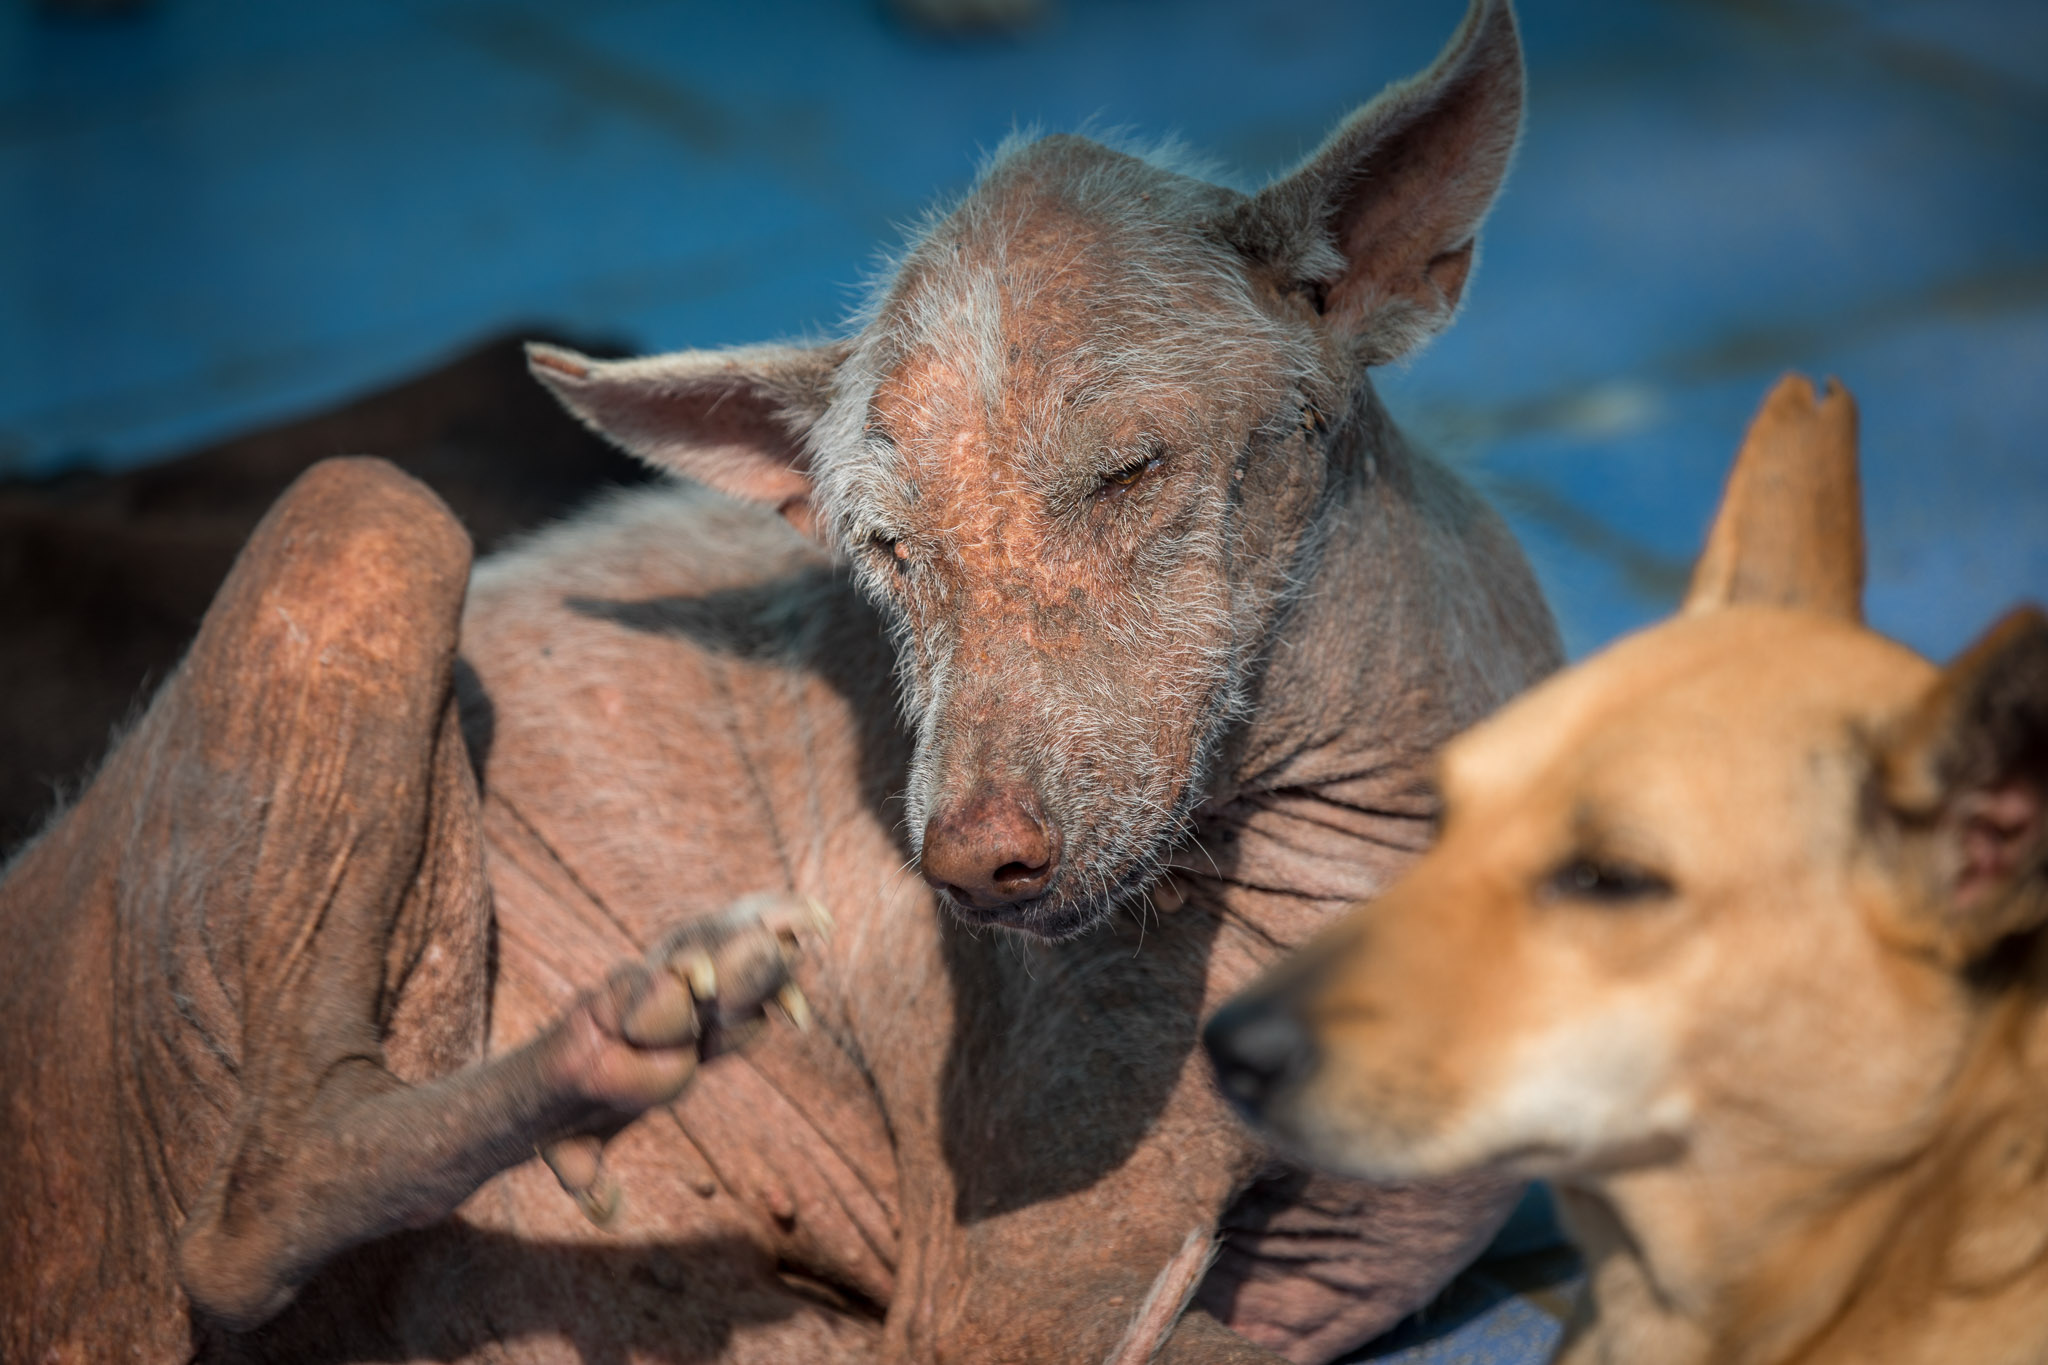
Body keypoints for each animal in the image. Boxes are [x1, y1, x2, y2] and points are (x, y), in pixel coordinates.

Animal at [0, 1, 1560, 1361]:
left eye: (1130, 471)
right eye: (884, 547)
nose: (970, 865)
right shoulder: (1001, 1302)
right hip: (375, 505)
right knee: (238, 1228)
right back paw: (636, 1029)